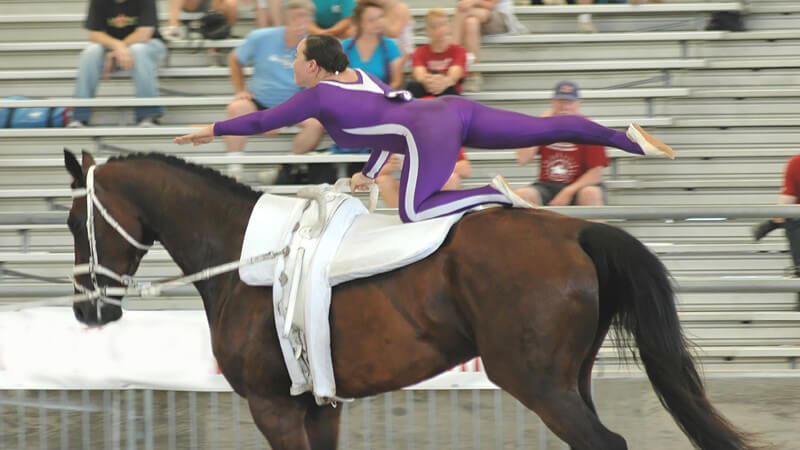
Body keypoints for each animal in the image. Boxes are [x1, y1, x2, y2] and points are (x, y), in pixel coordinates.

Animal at [64, 151, 756, 450]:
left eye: (75, 221)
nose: (88, 311)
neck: (245, 255)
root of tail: (573, 229)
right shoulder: (319, 407)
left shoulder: (273, 407)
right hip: (569, 380)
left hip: (537, 383)